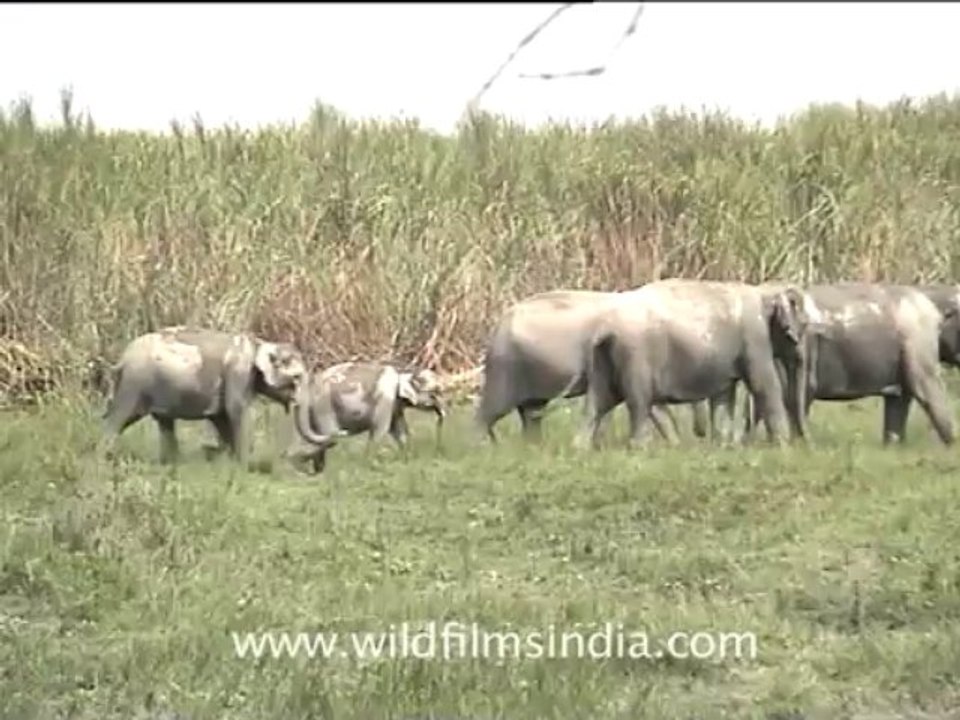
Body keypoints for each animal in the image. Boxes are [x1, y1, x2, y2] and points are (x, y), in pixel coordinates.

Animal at [101, 326, 342, 464]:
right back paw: (104, 457)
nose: (339, 434)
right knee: (119, 418)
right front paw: (243, 466)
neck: (259, 343)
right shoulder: (238, 373)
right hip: (134, 384)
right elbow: (236, 412)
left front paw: (229, 462)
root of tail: (121, 359)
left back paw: (171, 463)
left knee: (164, 422)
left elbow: (221, 417)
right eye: (297, 377)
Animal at [286, 361, 446, 474]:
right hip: (324, 407)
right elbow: (381, 429)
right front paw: (371, 465)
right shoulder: (385, 399)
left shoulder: (395, 405)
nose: (441, 416)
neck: (402, 374)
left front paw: (408, 461)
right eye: (435, 392)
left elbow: (400, 430)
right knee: (328, 436)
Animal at [476, 289, 710, 444]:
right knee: (493, 410)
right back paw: (481, 447)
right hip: (505, 365)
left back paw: (533, 447)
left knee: (532, 411)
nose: (700, 433)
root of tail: (498, 324)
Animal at [570, 279, 813, 450]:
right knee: (638, 400)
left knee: (599, 400)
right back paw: (639, 447)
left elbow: (724, 395)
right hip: (635, 355)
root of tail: (606, 326)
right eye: (803, 324)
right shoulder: (755, 336)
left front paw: (722, 445)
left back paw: (581, 448)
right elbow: (764, 384)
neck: (763, 291)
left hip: (602, 356)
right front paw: (783, 447)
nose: (804, 443)